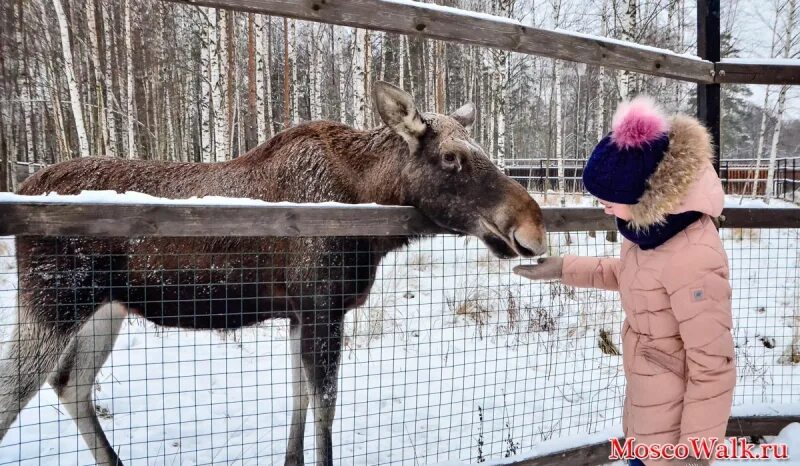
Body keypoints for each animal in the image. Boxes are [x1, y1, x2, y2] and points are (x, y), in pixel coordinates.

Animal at [0, 82, 548, 464]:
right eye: (451, 158)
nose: (534, 229)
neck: (371, 207)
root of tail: (24, 186)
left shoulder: (299, 314)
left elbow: (299, 401)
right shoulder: (323, 307)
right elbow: (324, 408)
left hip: (104, 310)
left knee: (70, 383)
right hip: (52, 304)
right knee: (17, 392)